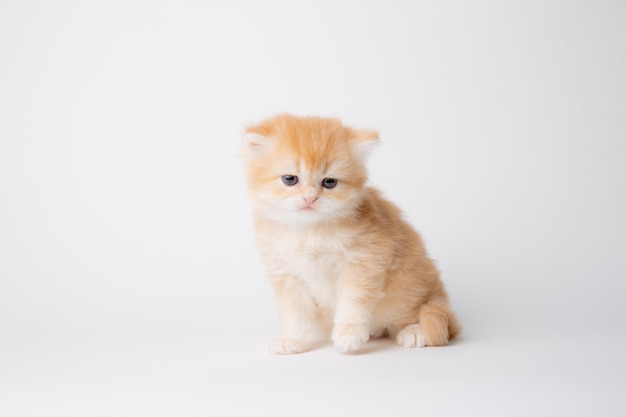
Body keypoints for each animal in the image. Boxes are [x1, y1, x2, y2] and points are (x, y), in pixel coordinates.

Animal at [240, 114, 458, 354]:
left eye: (329, 182)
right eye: (290, 179)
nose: (310, 198)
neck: (309, 230)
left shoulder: (365, 260)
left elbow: (353, 300)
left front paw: (348, 333)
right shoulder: (287, 275)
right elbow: (295, 313)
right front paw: (294, 340)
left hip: (408, 287)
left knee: (430, 317)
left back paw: (415, 331)